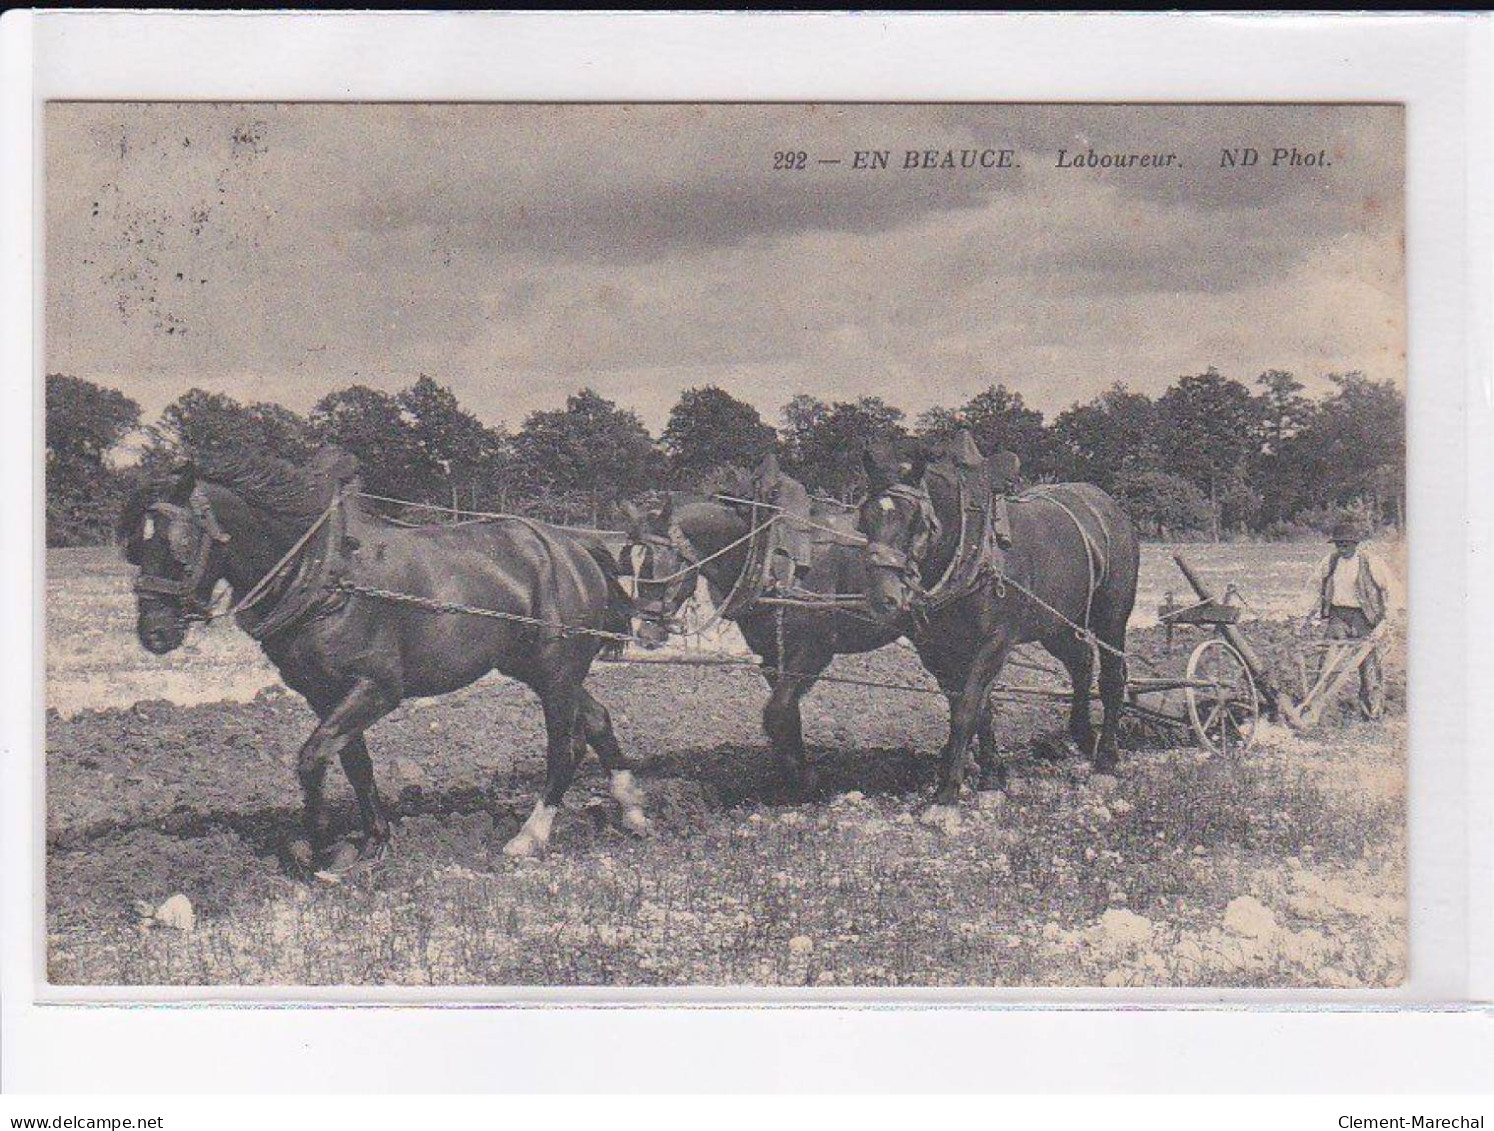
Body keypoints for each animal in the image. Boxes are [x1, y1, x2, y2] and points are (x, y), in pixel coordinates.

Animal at [119, 451, 645, 872]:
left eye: (179, 546)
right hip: (539, 668)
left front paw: (322, 847)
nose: (153, 633)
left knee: (565, 746)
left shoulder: (377, 686)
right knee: (597, 718)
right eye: (135, 546)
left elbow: (312, 757)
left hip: (556, 670)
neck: (325, 576)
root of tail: (573, 547)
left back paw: (530, 837)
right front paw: (375, 842)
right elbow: (355, 763)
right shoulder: (324, 693)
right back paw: (633, 809)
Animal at [860, 436, 1135, 806]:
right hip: (1057, 623)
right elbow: (978, 709)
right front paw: (992, 775)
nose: (884, 598)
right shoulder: (937, 651)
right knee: (1081, 664)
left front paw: (949, 789)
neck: (970, 550)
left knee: (1112, 677)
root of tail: (1108, 505)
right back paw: (1083, 736)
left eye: (915, 520)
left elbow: (967, 710)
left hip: (1111, 616)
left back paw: (1106, 756)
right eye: (864, 519)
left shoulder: (996, 642)